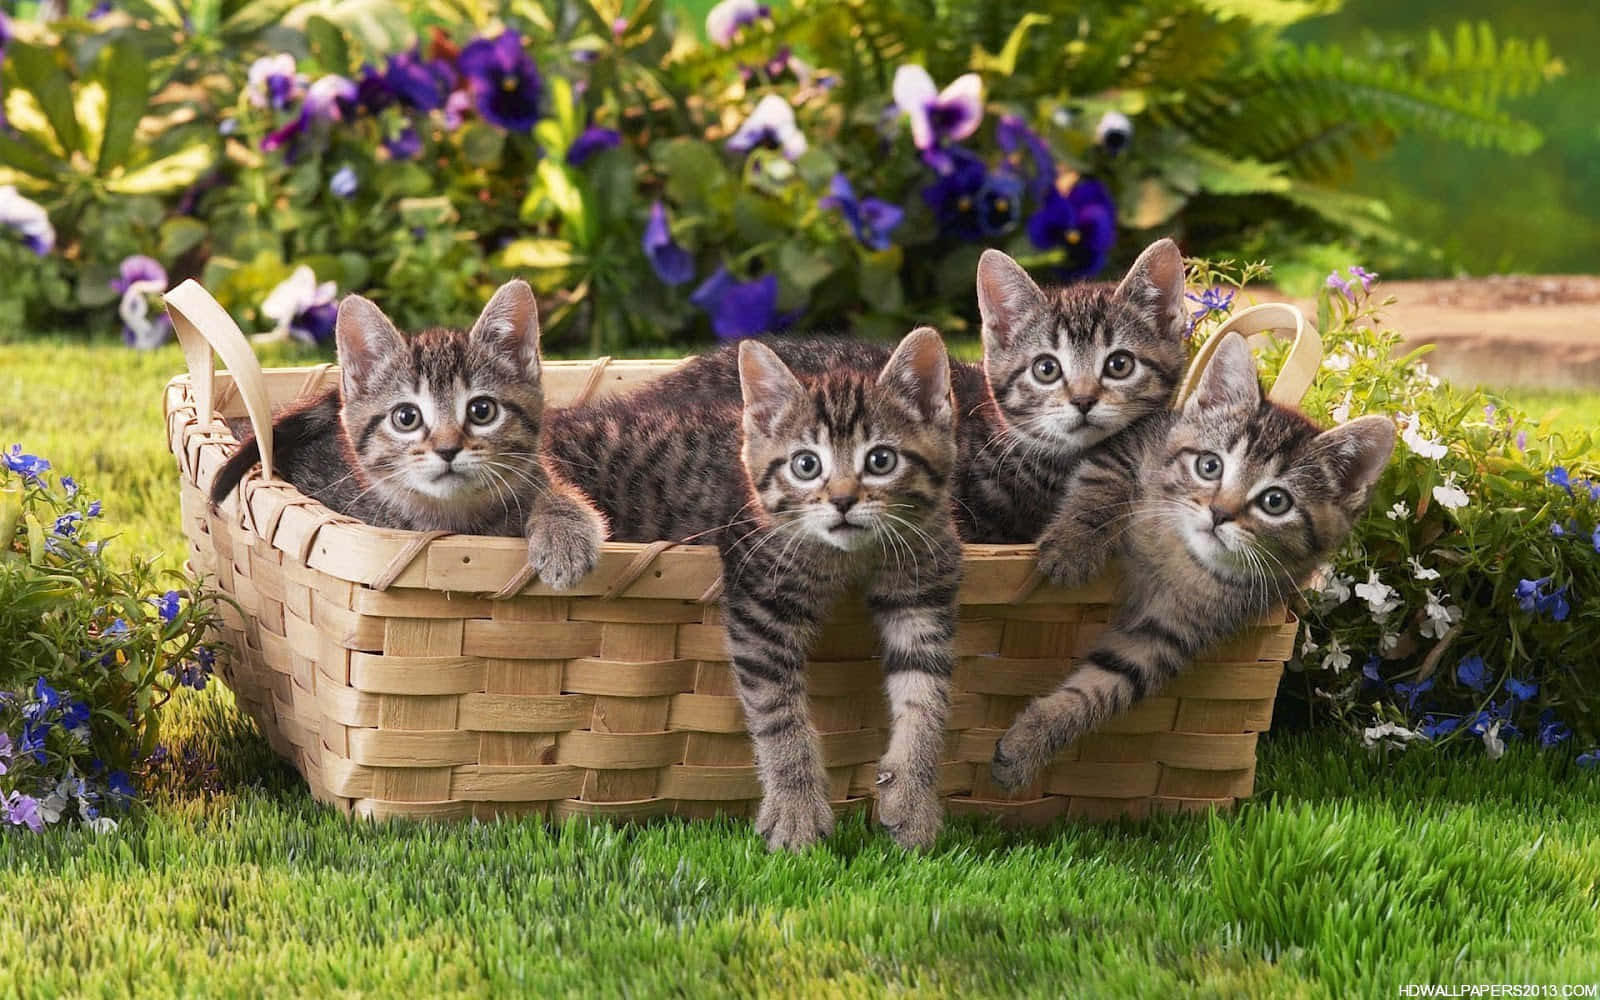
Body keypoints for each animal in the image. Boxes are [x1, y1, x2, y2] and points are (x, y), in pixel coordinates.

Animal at [212, 281, 604, 588]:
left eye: (482, 410)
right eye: (406, 417)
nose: (447, 449)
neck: (455, 520)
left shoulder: (539, 475)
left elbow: (560, 494)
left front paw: (563, 536)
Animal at [544, 329, 953, 851]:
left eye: (881, 460)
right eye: (806, 465)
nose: (842, 501)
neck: (849, 557)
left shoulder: (926, 586)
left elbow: (926, 696)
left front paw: (914, 800)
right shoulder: (761, 599)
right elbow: (777, 709)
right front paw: (796, 811)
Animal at [992, 336, 1395, 787]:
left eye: (1275, 501)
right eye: (1209, 465)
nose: (1219, 513)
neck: (1179, 555)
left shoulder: (1173, 633)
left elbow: (1109, 682)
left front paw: (1032, 739)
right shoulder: (1132, 441)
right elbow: (1103, 480)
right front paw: (1072, 546)